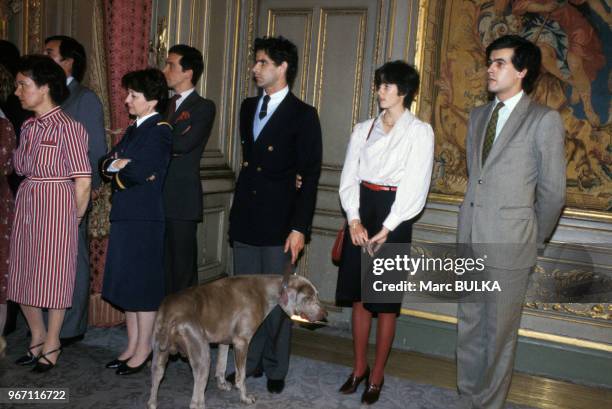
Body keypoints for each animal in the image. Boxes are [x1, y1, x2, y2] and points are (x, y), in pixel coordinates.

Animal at [146, 272, 328, 408]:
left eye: (317, 295)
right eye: (309, 297)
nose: (325, 315)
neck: (264, 292)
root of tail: (171, 315)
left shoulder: (225, 340)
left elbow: (221, 365)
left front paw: (222, 384)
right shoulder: (241, 342)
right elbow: (241, 376)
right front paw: (245, 397)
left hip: (158, 355)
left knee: (154, 387)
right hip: (202, 356)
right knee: (195, 401)